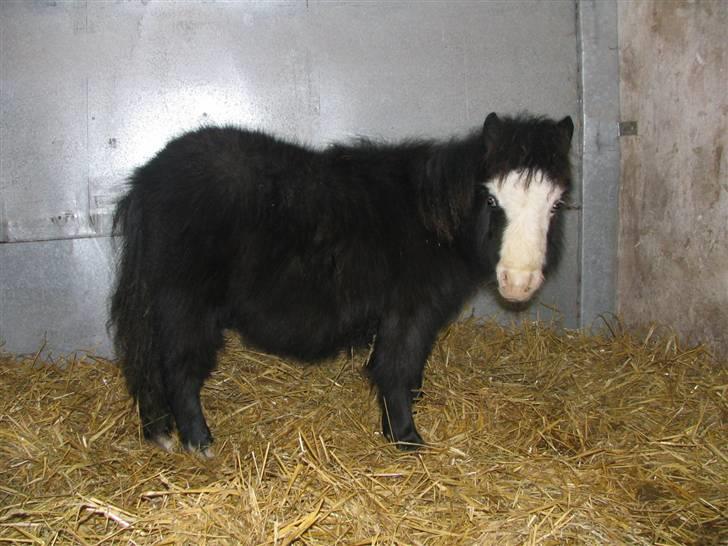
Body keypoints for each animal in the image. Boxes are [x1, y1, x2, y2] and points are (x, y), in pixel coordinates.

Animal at [109, 112, 576, 452]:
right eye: (493, 199)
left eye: (556, 205)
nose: (519, 282)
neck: (430, 218)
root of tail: (148, 178)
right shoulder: (409, 311)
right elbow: (396, 368)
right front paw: (407, 438)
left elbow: (409, 369)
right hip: (186, 305)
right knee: (179, 370)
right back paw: (199, 442)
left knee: (150, 365)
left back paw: (160, 433)